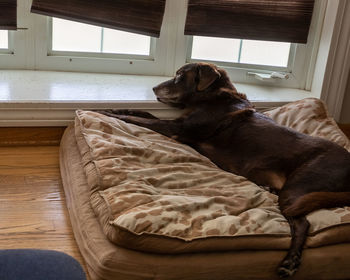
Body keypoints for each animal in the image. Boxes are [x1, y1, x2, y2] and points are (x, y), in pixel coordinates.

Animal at [98, 61, 350, 278]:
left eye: (180, 76)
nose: (153, 88)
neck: (212, 98)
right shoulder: (177, 124)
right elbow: (144, 114)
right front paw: (118, 108)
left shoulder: (177, 128)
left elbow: (142, 120)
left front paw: (109, 114)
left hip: (297, 189)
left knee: (302, 223)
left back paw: (290, 261)